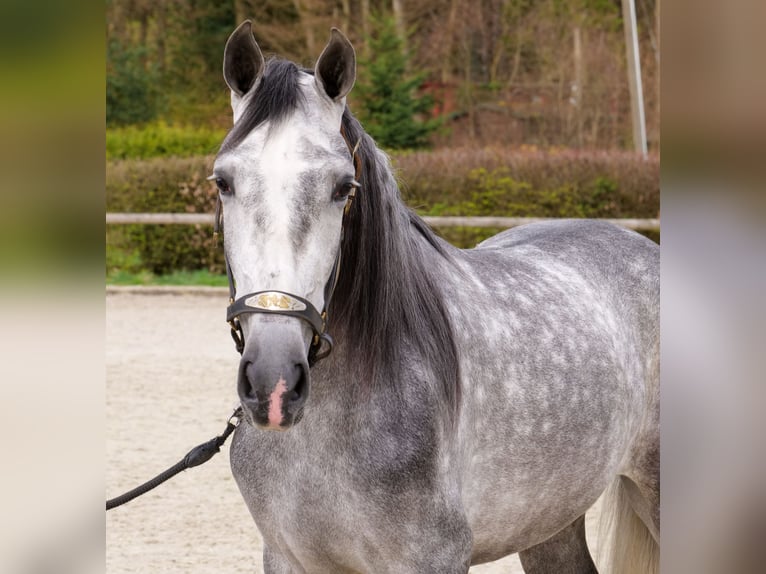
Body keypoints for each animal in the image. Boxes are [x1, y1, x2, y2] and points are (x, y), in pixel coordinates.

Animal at [212, 21, 659, 574]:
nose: (273, 384)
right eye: (223, 181)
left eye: (343, 187)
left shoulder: (432, 556)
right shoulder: (287, 557)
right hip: (550, 521)